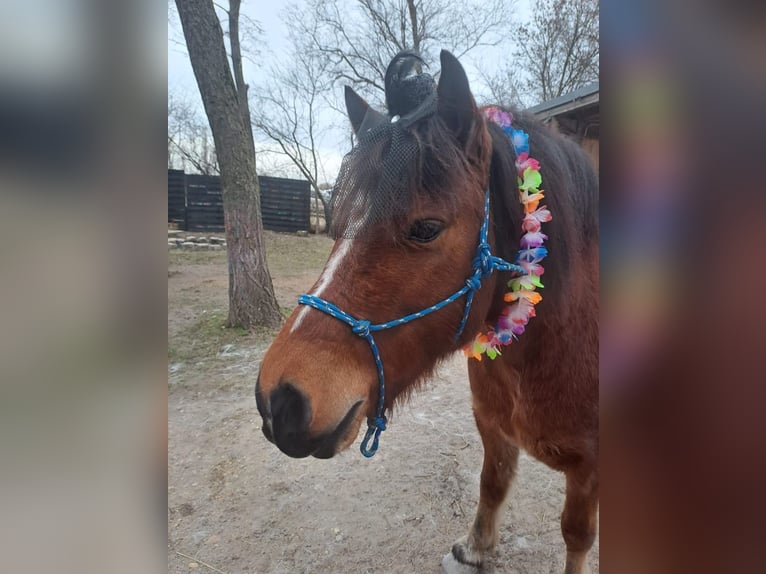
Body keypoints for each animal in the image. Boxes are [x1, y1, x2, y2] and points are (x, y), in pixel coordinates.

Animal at [256, 50, 600, 574]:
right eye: (338, 222)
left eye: (426, 228)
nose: (280, 401)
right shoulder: (492, 425)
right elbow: (492, 483)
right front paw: (476, 547)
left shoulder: (591, 469)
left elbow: (576, 534)